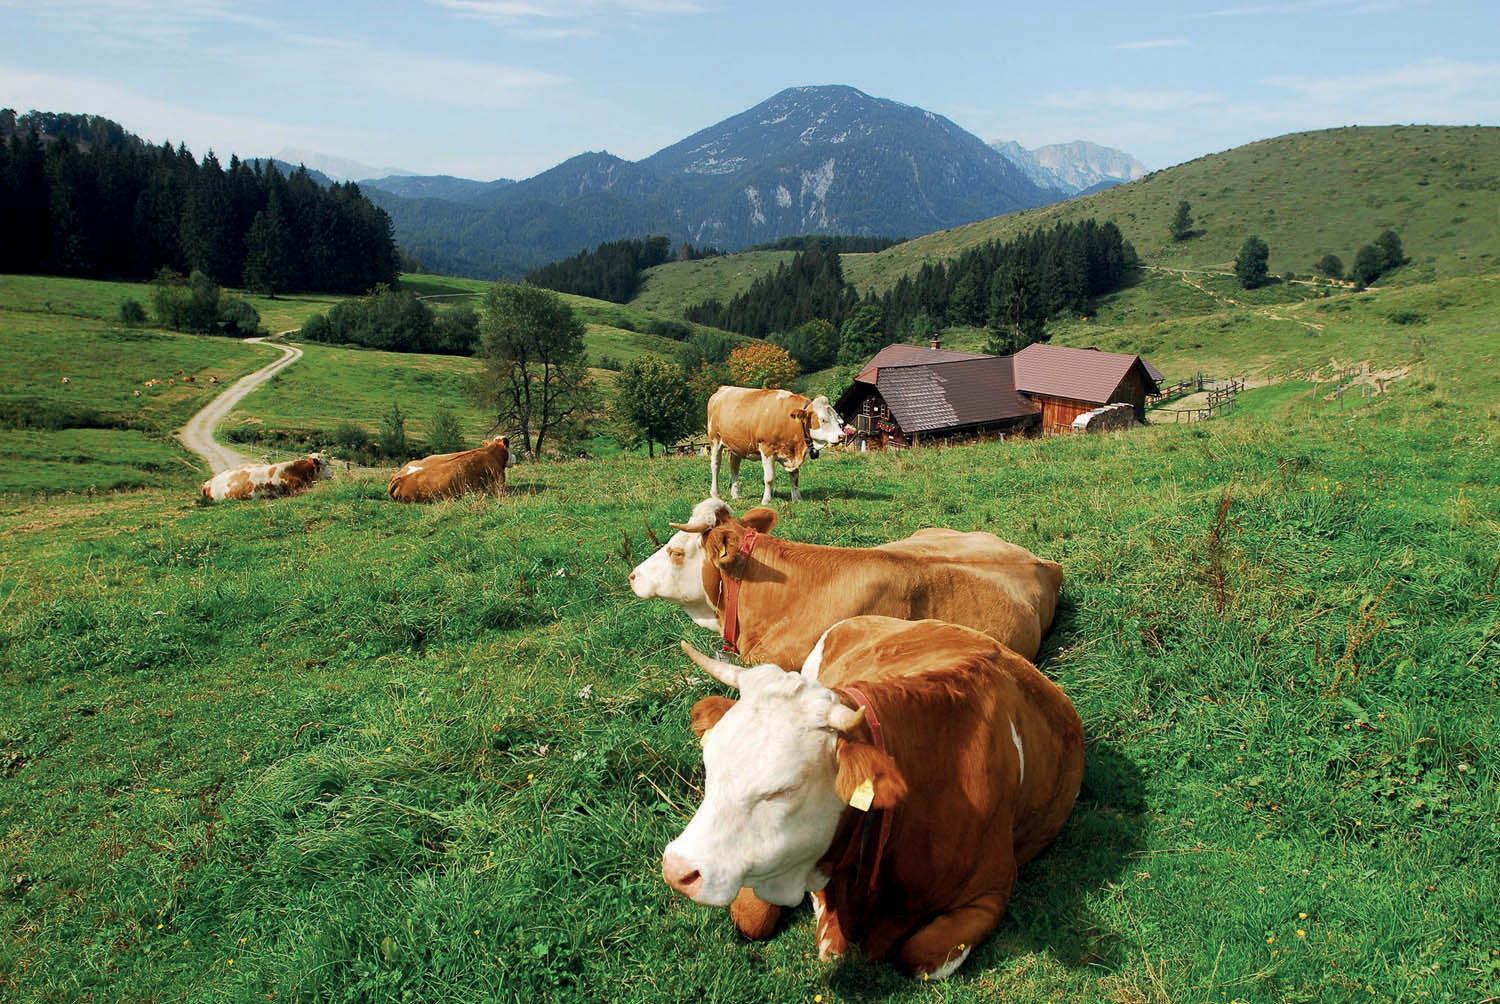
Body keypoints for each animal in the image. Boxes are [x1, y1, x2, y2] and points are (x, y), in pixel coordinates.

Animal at [663, 618, 1086, 978]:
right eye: (710, 762)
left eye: (784, 789)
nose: (676, 868)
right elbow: (752, 918)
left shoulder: (991, 892)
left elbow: (920, 955)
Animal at [705, 387, 846, 504]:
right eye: (823, 420)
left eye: (836, 417)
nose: (842, 436)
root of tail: (723, 389)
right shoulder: (767, 449)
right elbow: (769, 478)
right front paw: (766, 500)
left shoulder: (792, 453)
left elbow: (795, 476)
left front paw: (797, 499)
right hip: (714, 439)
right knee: (715, 466)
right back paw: (715, 494)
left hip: (736, 445)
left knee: (734, 466)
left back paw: (736, 494)